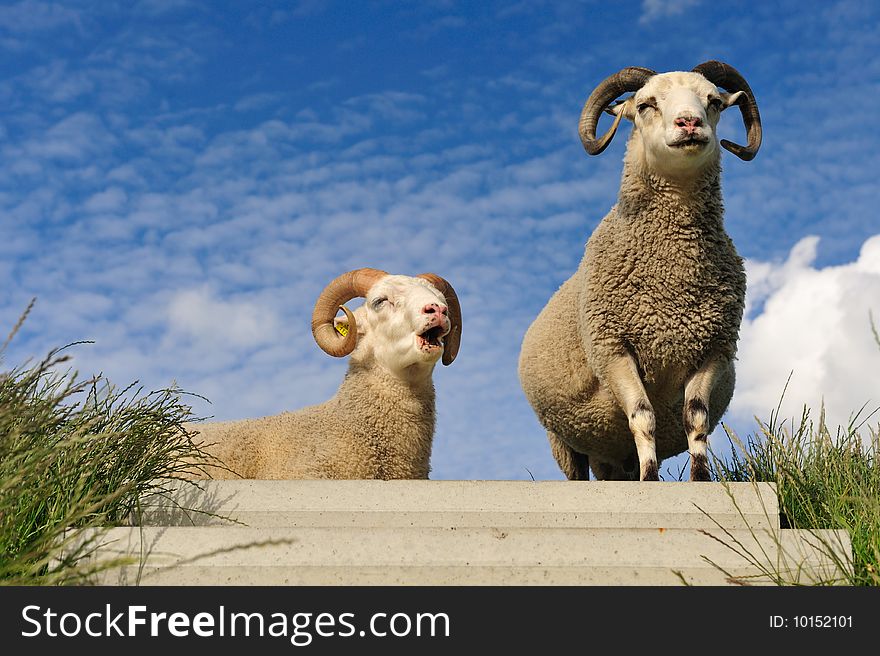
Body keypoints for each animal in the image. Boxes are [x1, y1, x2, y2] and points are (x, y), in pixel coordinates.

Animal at [520, 60, 760, 482]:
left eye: (714, 101)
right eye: (646, 104)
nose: (689, 122)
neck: (672, 276)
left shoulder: (712, 348)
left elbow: (696, 417)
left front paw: (701, 481)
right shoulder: (613, 349)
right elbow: (643, 417)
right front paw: (651, 483)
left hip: (610, 452)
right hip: (563, 439)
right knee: (577, 470)